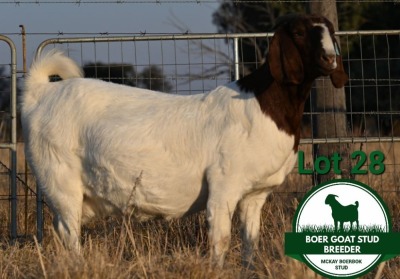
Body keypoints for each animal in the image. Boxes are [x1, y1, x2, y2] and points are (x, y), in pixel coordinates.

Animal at [21, 14, 346, 268]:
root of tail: (41, 94)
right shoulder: (223, 185)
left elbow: (250, 241)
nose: (330, 59)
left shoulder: (255, 194)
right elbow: (220, 239)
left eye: (331, 30)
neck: (264, 103)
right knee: (68, 231)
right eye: (299, 32)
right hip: (59, 178)